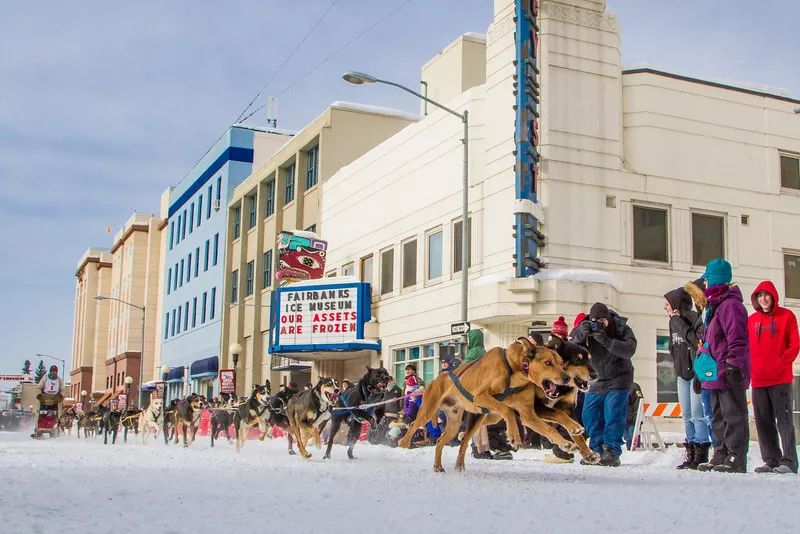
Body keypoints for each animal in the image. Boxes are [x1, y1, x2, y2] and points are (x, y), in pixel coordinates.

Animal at [400, 340, 576, 474]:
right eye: (548, 363)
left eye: (561, 363)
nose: (567, 377)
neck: (513, 368)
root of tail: (437, 378)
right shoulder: (481, 397)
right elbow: (507, 411)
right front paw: (514, 436)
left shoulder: (528, 414)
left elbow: (551, 427)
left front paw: (566, 442)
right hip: (428, 412)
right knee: (415, 424)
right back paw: (403, 442)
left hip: (469, 421)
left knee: (449, 441)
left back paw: (448, 463)